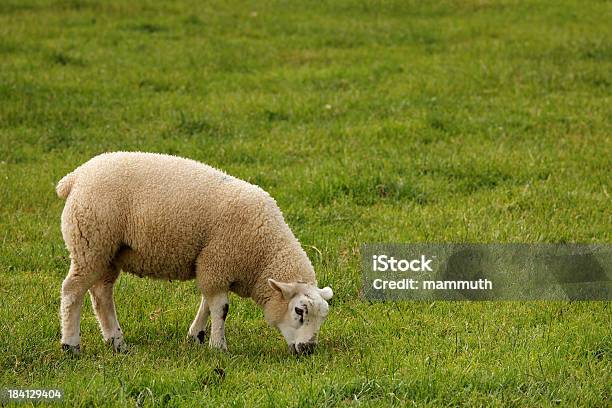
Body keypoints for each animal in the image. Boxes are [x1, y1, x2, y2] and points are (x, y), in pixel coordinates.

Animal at [56, 151, 332, 356]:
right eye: (299, 311)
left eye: (323, 317)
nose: (308, 349)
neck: (263, 254)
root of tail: (74, 177)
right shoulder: (219, 260)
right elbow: (221, 308)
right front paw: (218, 346)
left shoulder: (211, 265)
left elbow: (207, 303)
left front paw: (196, 336)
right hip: (90, 242)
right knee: (72, 291)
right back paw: (71, 345)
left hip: (107, 252)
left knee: (101, 294)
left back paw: (117, 343)